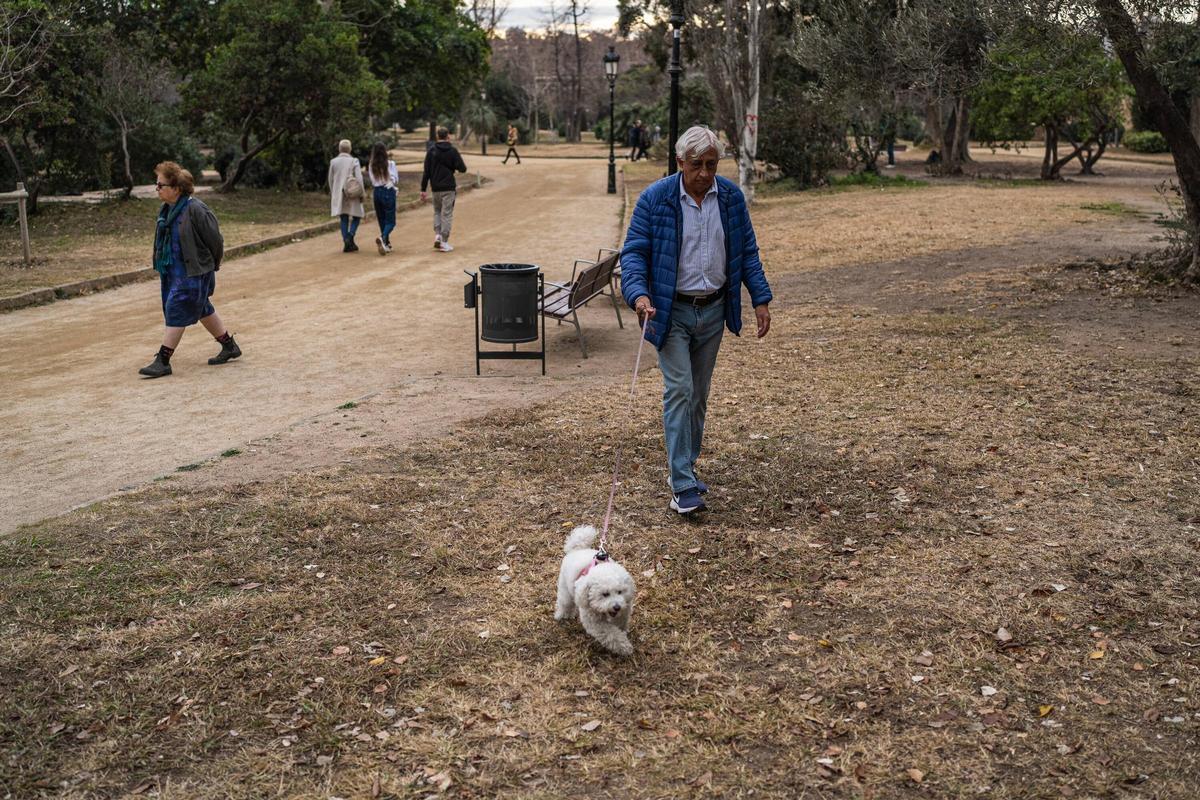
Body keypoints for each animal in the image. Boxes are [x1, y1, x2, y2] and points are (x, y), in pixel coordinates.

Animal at [554, 525, 638, 657]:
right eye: (605, 594)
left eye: (620, 592)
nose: (617, 607)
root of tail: (577, 549)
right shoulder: (594, 622)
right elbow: (610, 634)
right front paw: (624, 647)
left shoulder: (624, 609)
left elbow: (621, 622)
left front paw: (623, 632)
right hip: (565, 588)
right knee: (565, 603)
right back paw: (562, 615)